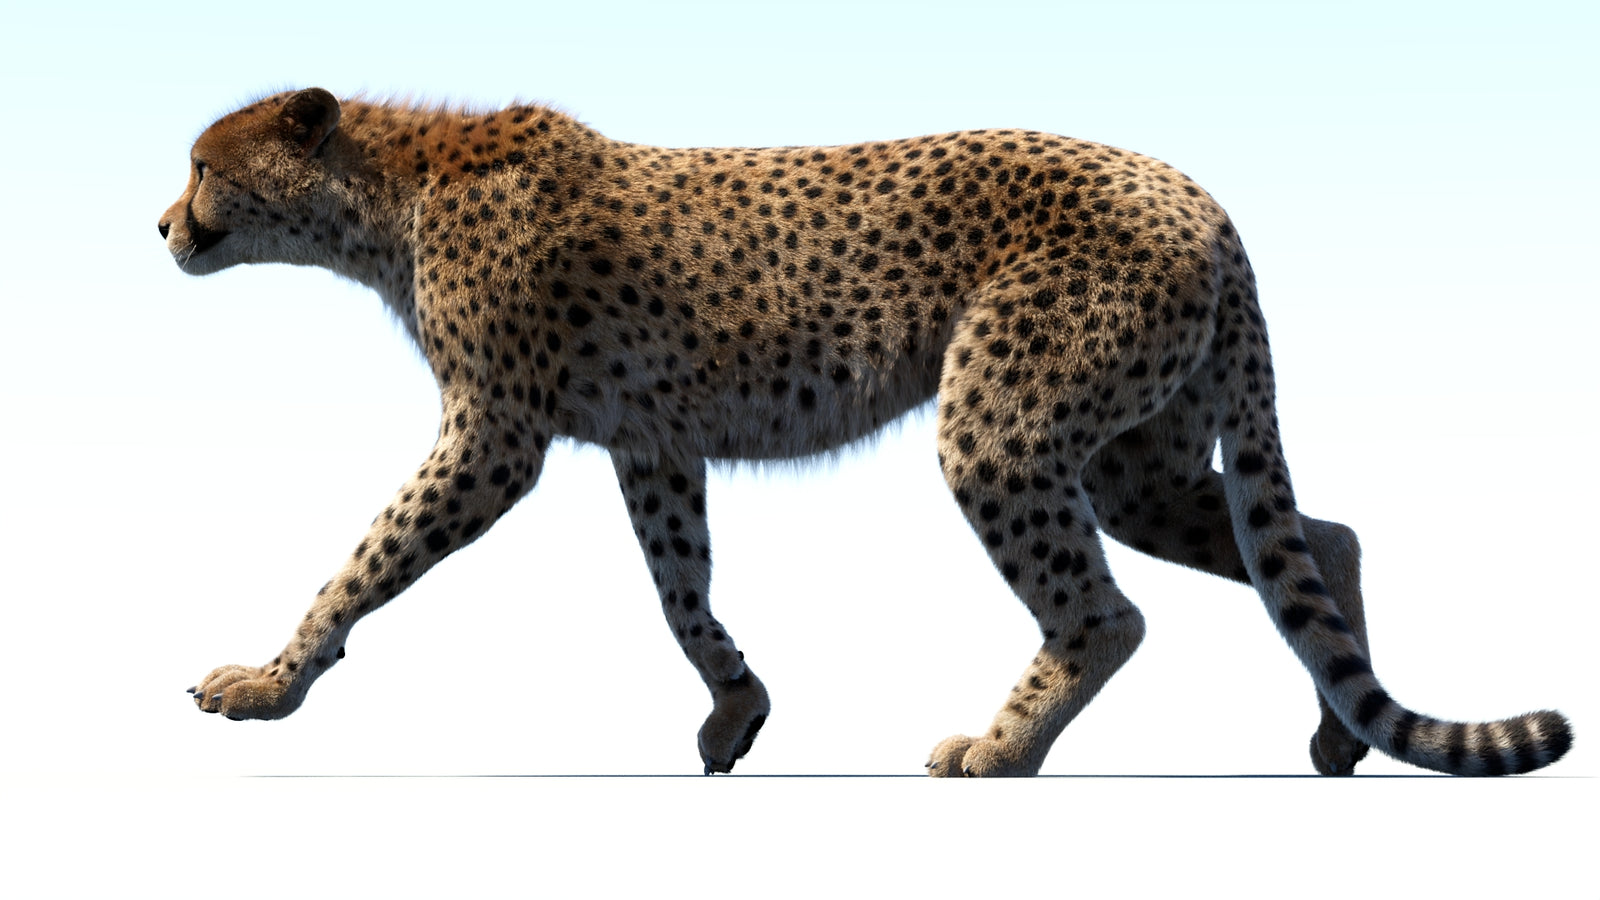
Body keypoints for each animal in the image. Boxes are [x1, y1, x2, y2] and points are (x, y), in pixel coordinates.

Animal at [161, 88, 1572, 776]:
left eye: (204, 167)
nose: (163, 224)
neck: (384, 192)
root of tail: (1201, 197)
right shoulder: (652, 444)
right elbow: (680, 590)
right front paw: (735, 709)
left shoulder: (495, 437)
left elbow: (363, 558)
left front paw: (269, 682)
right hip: (1137, 457)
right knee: (1318, 540)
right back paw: (1337, 731)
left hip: (1000, 421)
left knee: (1106, 614)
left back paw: (999, 753)